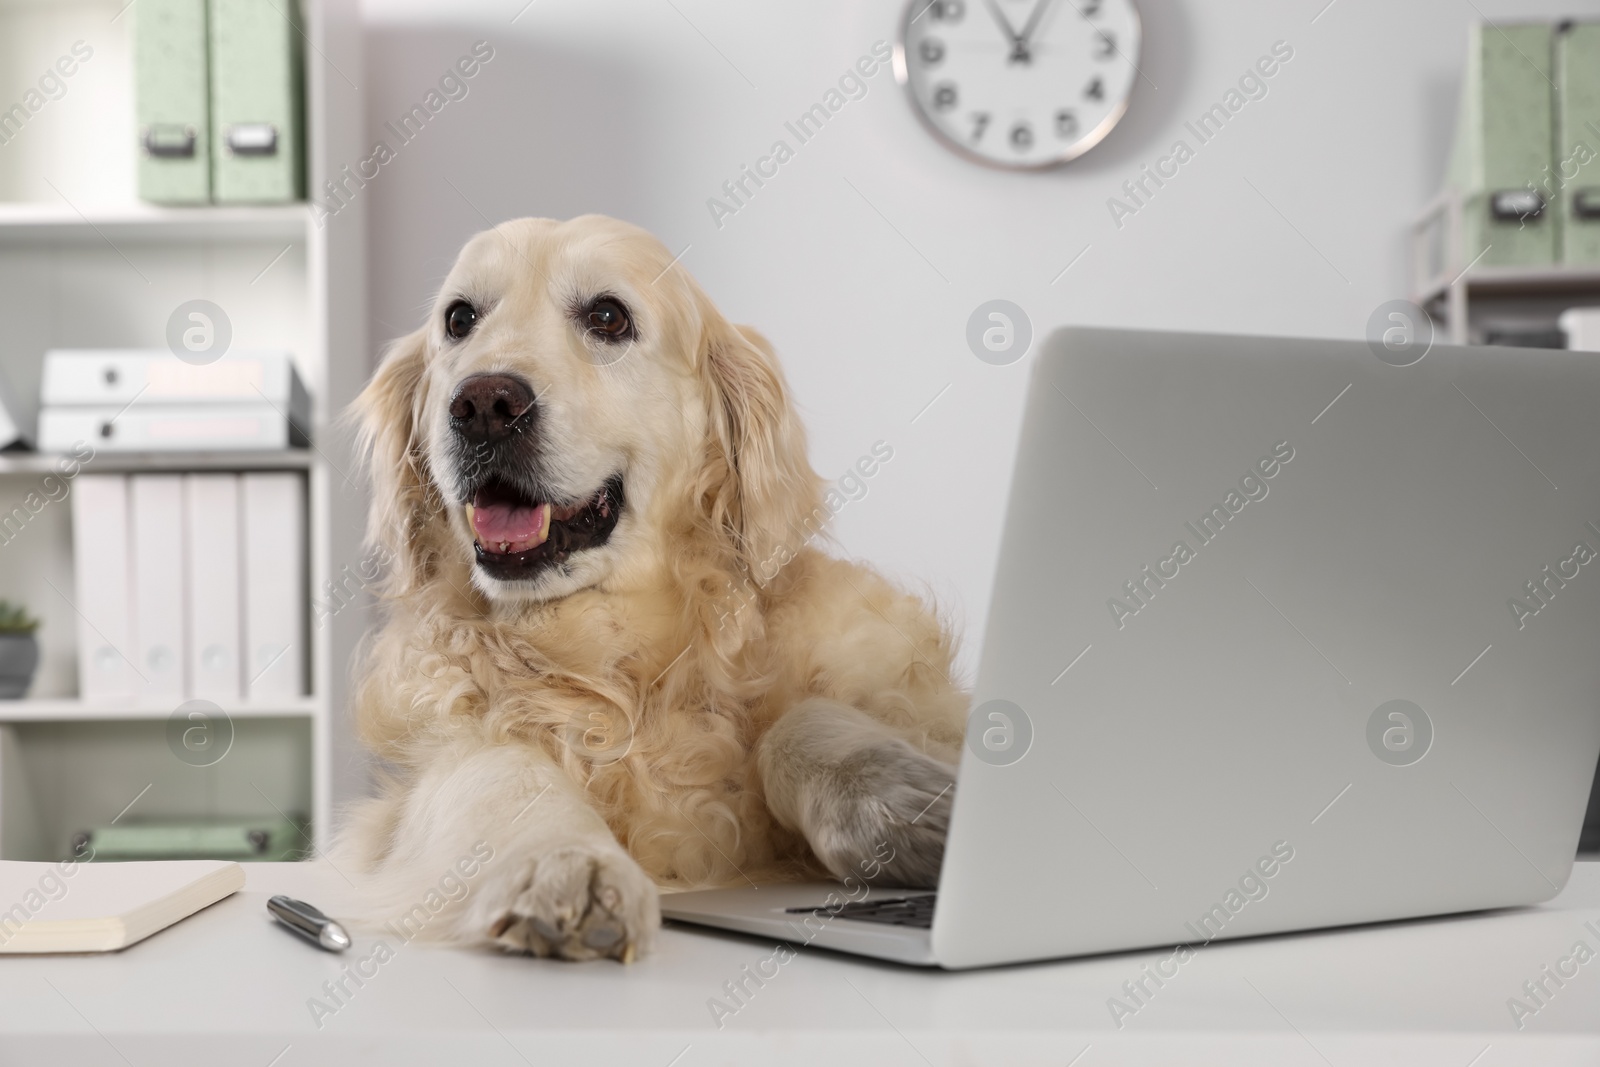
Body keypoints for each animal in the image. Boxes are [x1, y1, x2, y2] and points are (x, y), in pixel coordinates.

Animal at [337, 214, 960, 959]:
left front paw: (904, 797)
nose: (484, 404)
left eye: (608, 316)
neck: (617, 660)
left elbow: (800, 720)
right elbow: (503, 771)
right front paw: (566, 865)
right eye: (459, 320)